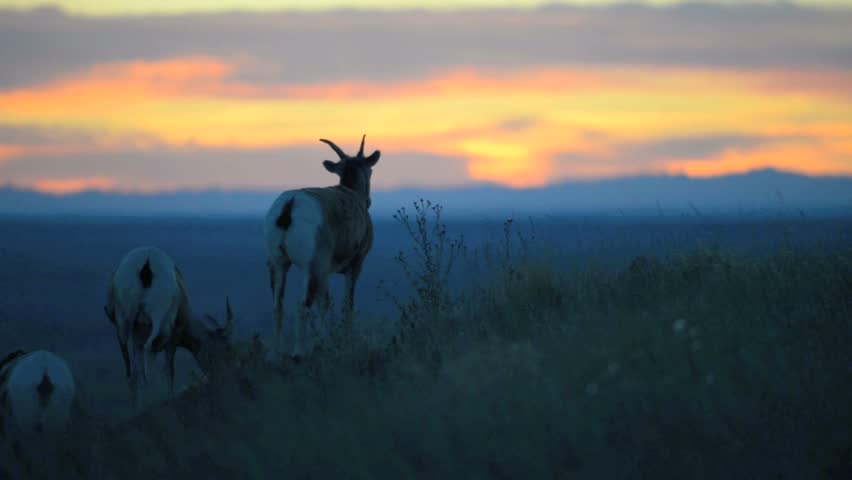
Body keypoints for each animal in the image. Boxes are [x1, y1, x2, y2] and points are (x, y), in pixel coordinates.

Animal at [103, 246, 234, 410]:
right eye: (227, 348)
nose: (224, 376)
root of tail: (147, 261)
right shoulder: (172, 340)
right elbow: (169, 370)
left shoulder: (137, 338)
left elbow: (137, 371)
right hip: (159, 321)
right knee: (148, 353)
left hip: (122, 323)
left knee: (130, 372)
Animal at [264, 135, 380, 357]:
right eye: (369, 169)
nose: (369, 201)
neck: (351, 194)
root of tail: (290, 204)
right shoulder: (354, 267)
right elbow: (346, 305)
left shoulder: (325, 273)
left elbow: (324, 304)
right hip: (312, 269)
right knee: (302, 304)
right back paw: (298, 354)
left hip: (278, 265)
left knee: (277, 306)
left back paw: (275, 354)